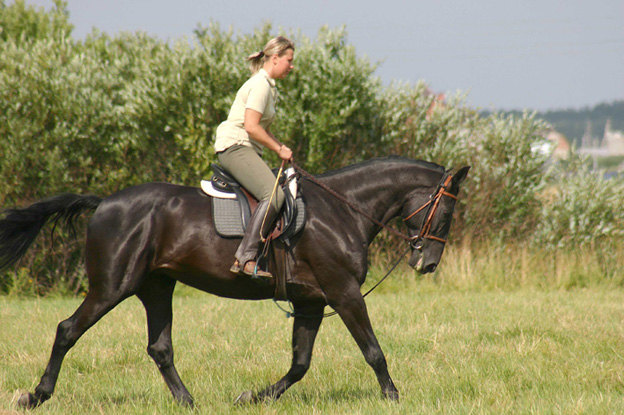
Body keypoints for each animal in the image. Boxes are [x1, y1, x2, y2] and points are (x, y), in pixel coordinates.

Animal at [0, 157, 468, 410]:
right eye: (446, 213)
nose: (427, 263)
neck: (343, 210)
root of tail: (104, 203)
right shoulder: (343, 293)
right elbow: (373, 351)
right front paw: (393, 397)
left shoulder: (312, 302)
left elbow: (300, 364)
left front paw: (252, 398)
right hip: (112, 287)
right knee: (68, 330)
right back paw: (35, 396)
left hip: (156, 287)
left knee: (159, 347)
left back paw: (188, 403)